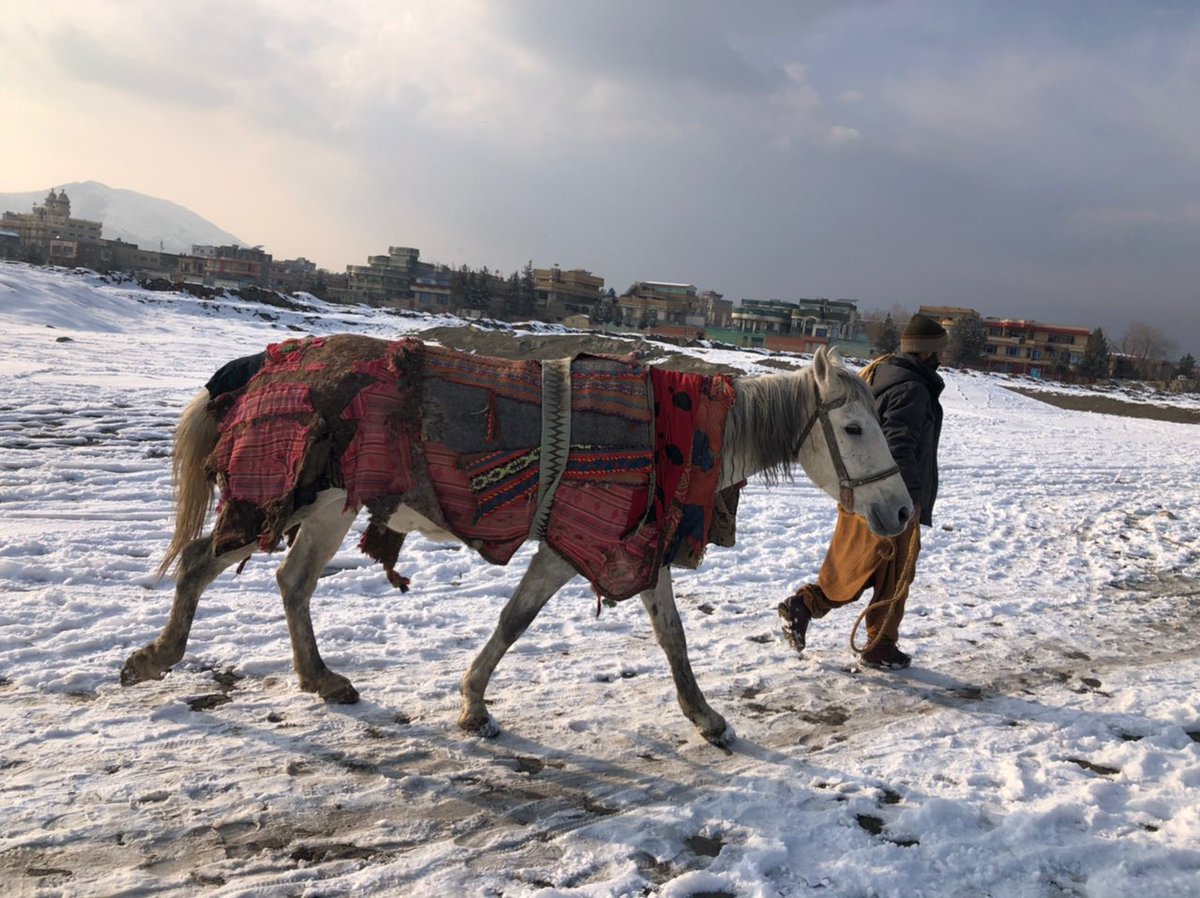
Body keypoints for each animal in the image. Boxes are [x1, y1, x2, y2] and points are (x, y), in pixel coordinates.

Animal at [121, 336, 912, 746]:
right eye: (852, 427)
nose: (903, 511)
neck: (676, 431)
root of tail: (258, 364)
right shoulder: (574, 543)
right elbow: (517, 620)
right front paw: (474, 704)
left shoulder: (630, 549)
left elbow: (670, 636)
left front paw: (704, 716)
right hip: (291, 497)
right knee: (205, 564)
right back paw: (157, 658)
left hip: (325, 507)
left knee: (290, 582)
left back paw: (320, 679)